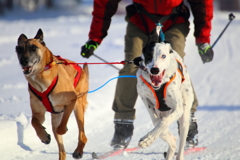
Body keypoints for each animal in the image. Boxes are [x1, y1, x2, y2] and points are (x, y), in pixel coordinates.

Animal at [15, 28, 89, 160]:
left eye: (34, 47)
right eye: (19, 49)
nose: (23, 61)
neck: (40, 78)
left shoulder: (71, 100)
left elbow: (62, 125)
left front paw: (63, 129)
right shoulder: (39, 113)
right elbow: (34, 122)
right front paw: (43, 135)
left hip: (78, 107)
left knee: (82, 135)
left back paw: (78, 151)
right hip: (55, 117)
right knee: (62, 151)